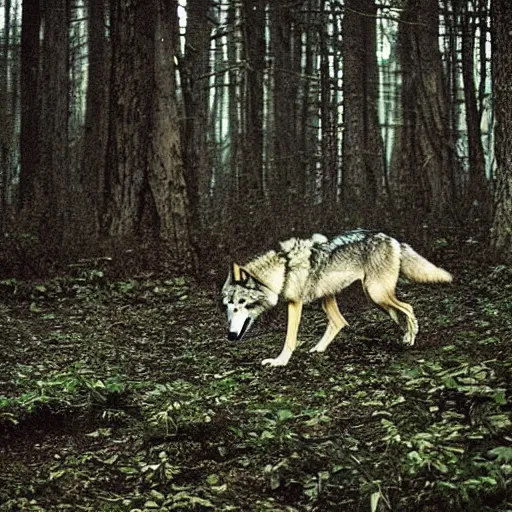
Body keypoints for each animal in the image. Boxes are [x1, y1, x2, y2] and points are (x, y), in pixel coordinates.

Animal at [220, 230, 452, 366]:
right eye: (228, 307)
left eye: (242, 304)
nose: (230, 336)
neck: (283, 268)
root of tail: (393, 239)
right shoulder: (325, 295)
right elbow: (337, 322)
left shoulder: (295, 304)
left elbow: (290, 338)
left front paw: (280, 362)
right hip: (371, 297)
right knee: (387, 314)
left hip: (377, 294)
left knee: (409, 307)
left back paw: (411, 338)